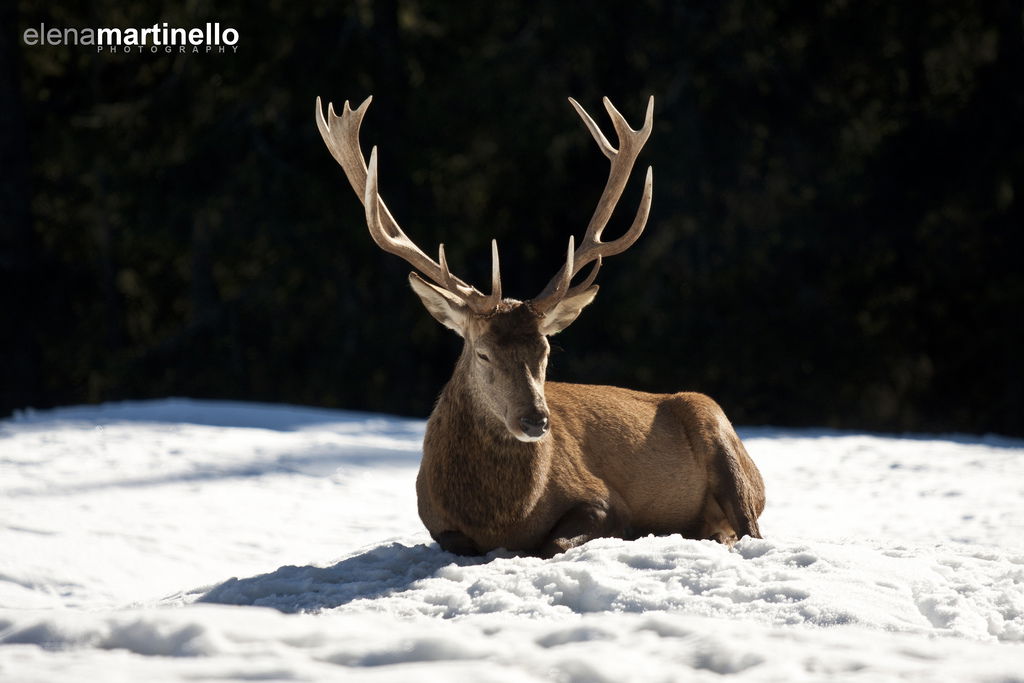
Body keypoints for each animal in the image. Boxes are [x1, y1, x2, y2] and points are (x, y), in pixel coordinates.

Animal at [315, 93, 765, 557]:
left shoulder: (605, 501)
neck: (505, 519)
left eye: (546, 348)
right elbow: (459, 542)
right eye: (482, 353)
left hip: (719, 432)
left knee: (750, 528)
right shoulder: (435, 521)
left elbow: (557, 542)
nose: (536, 421)